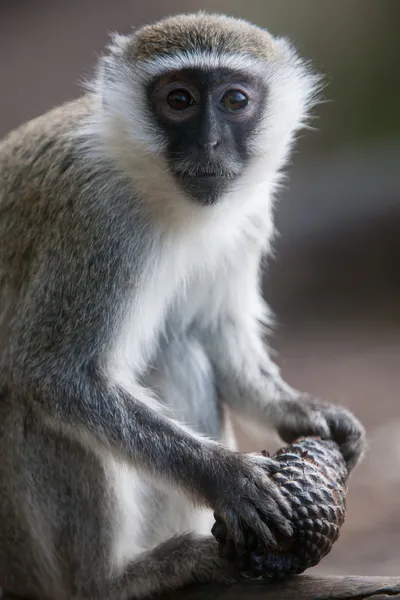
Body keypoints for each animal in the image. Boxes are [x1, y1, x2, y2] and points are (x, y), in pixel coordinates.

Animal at [0, 9, 364, 600]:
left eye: (235, 100)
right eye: (179, 100)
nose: (210, 144)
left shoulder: (248, 214)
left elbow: (216, 332)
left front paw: (302, 411)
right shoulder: (98, 220)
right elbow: (53, 373)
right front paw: (227, 476)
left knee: (179, 349)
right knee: (31, 402)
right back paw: (112, 579)